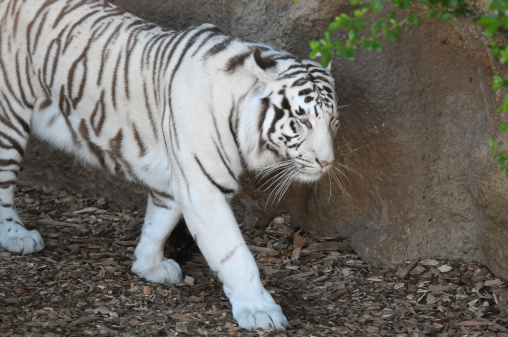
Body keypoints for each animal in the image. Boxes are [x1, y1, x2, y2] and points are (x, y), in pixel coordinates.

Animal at [0, 0, 342, 330]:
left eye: (333, 121)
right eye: (302, 120)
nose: (326, 161)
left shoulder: (176, 177)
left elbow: (159, 220)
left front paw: (147, 264)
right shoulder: (203, 189)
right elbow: (234, 254)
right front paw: (260, 311)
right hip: (8, 119)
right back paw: (16, 236)